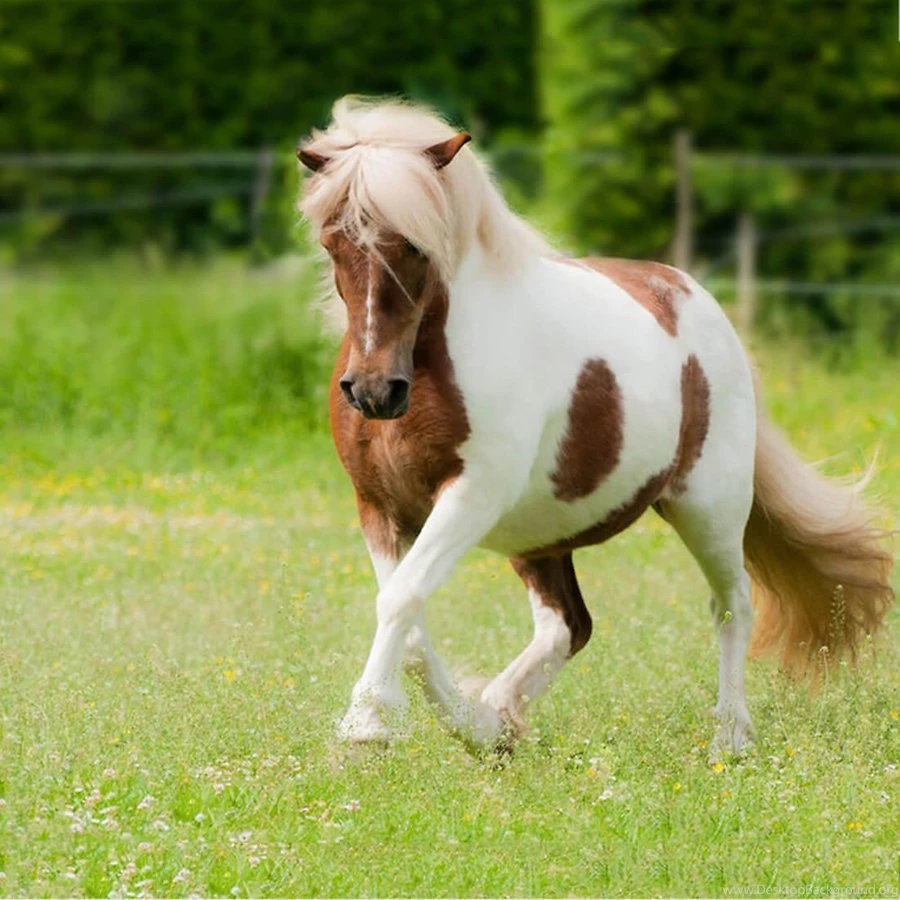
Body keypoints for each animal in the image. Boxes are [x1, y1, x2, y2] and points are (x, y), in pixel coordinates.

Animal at [297, 96, 894, 757]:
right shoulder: (379, 507)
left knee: (731, 604)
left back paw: (730, 739)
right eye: (333, 242)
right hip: (540, 534)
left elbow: (401, 601)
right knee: (568, 625)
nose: (375, 392)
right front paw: (466, 725)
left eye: (415, 244)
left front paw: (366, 726)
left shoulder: (471, 495)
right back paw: (499, 713)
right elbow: (406, 618)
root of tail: (694, 296)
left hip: (708, 505)